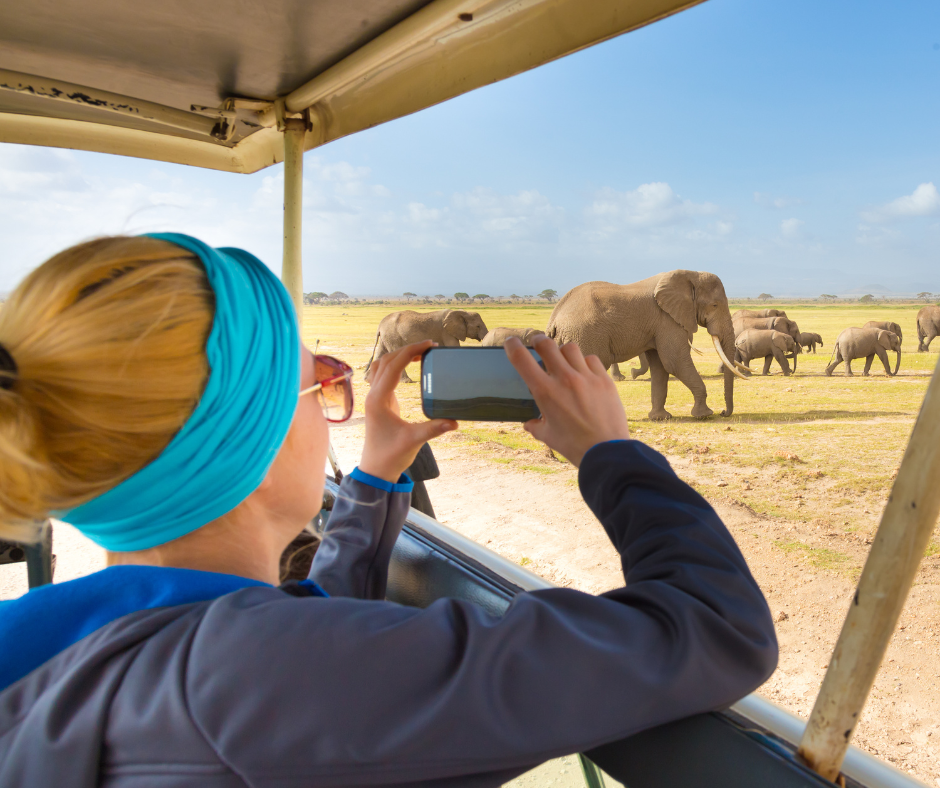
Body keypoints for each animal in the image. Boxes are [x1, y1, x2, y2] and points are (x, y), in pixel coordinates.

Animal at [546, 270, 746, 421]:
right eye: (714, 305)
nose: (723, 412)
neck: (690, 274)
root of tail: (554, 318)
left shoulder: (659, 324)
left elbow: (660, 367)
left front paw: (660, 418)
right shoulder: (667, 320)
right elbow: (675, 362)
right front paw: (704, 415)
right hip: (584, 337)